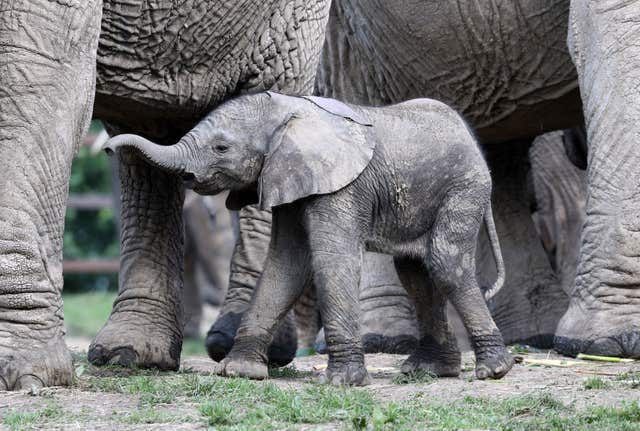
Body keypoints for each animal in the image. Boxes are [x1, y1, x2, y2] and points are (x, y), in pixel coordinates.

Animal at [105, 91, 516, 384]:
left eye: (221, 148)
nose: (108, 147)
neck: (292, 110)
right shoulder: (289, 181)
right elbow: (285, 265)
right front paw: (240, 372)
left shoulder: (341, 186)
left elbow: (332, 259)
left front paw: (343, 382)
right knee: (416, 274)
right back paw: (428, 371)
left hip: (464, 188)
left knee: (444, 263)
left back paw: (493, 371)